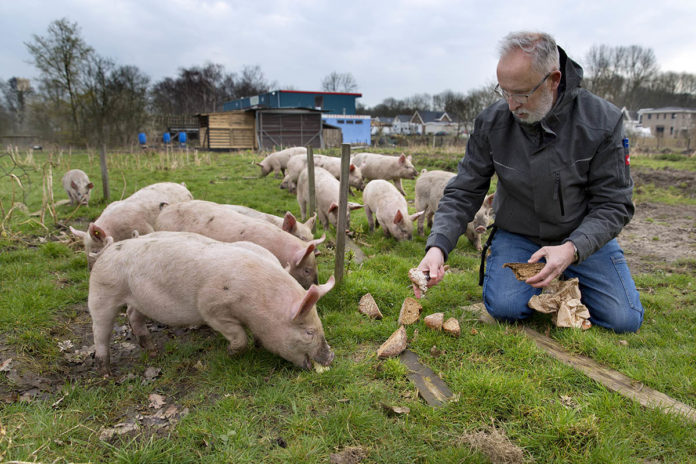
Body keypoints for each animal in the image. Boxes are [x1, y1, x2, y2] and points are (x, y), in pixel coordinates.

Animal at [88, 232, 336, 374]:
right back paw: (106, 372)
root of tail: (107, 250)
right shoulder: (212, 308)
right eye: (309, 332)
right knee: (99, 331)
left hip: (138, 299)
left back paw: (154, 352)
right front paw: (230, 354)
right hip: (102, 293)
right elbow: (239, 337)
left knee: (133, 315)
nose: (332, 356)